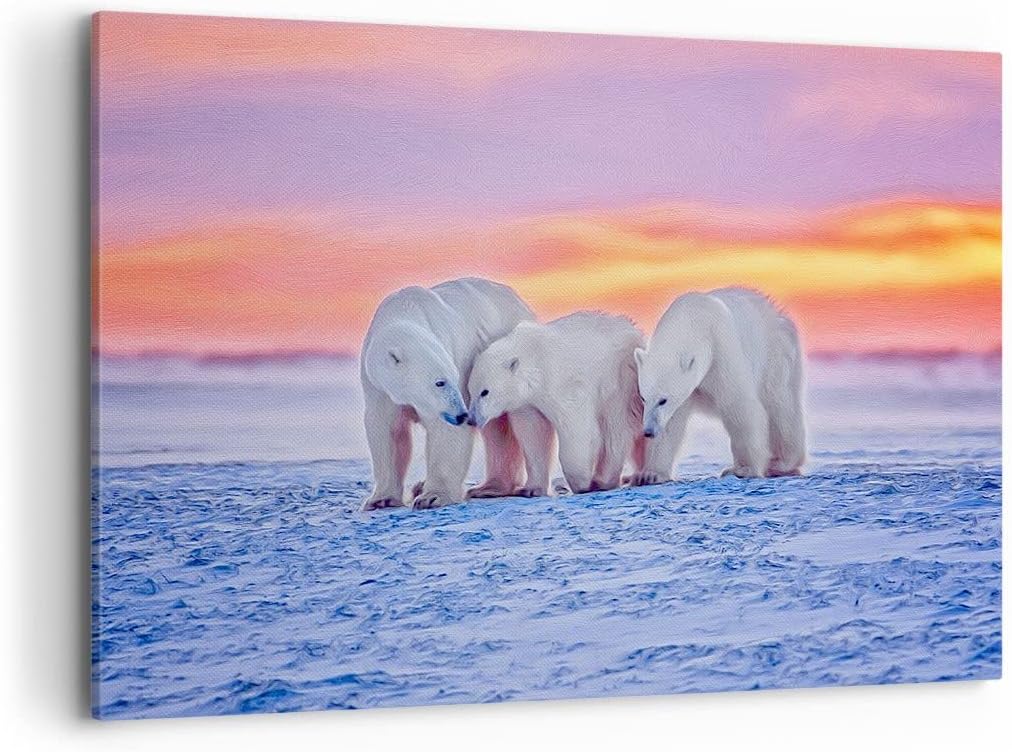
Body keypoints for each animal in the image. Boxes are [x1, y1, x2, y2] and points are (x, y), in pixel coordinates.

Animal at [359, 277, 554, 511]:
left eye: (454, 376)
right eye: (439, 382)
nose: (462, 415)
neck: (405, 309)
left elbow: (446, 432)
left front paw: (432, 497)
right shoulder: (378, 387)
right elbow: (387, 430)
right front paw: (381, 500)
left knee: (526, 421)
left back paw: (526, 487)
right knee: (497, 429)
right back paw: (488, 488)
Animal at [467, 312, 645, 495]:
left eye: (485, 392)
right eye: (470, 391)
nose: (472, 419)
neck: (534, 358)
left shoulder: (562, 384)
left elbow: (576, 428)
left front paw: (580, 484)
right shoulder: (527, 402)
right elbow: (533, 434)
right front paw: (531, 489)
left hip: (619, 379)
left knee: (616, 427)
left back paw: (602, 481)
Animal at [632, 287, 806, 483]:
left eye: (663, 400)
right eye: (643, 398)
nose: (648, 431)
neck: (694, 318)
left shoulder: (721, 351)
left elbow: (739, 406)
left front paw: (742, 469)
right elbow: (671, 422)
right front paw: (649, 474)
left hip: (776, 356)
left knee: (781, 407)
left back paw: (783, 463)